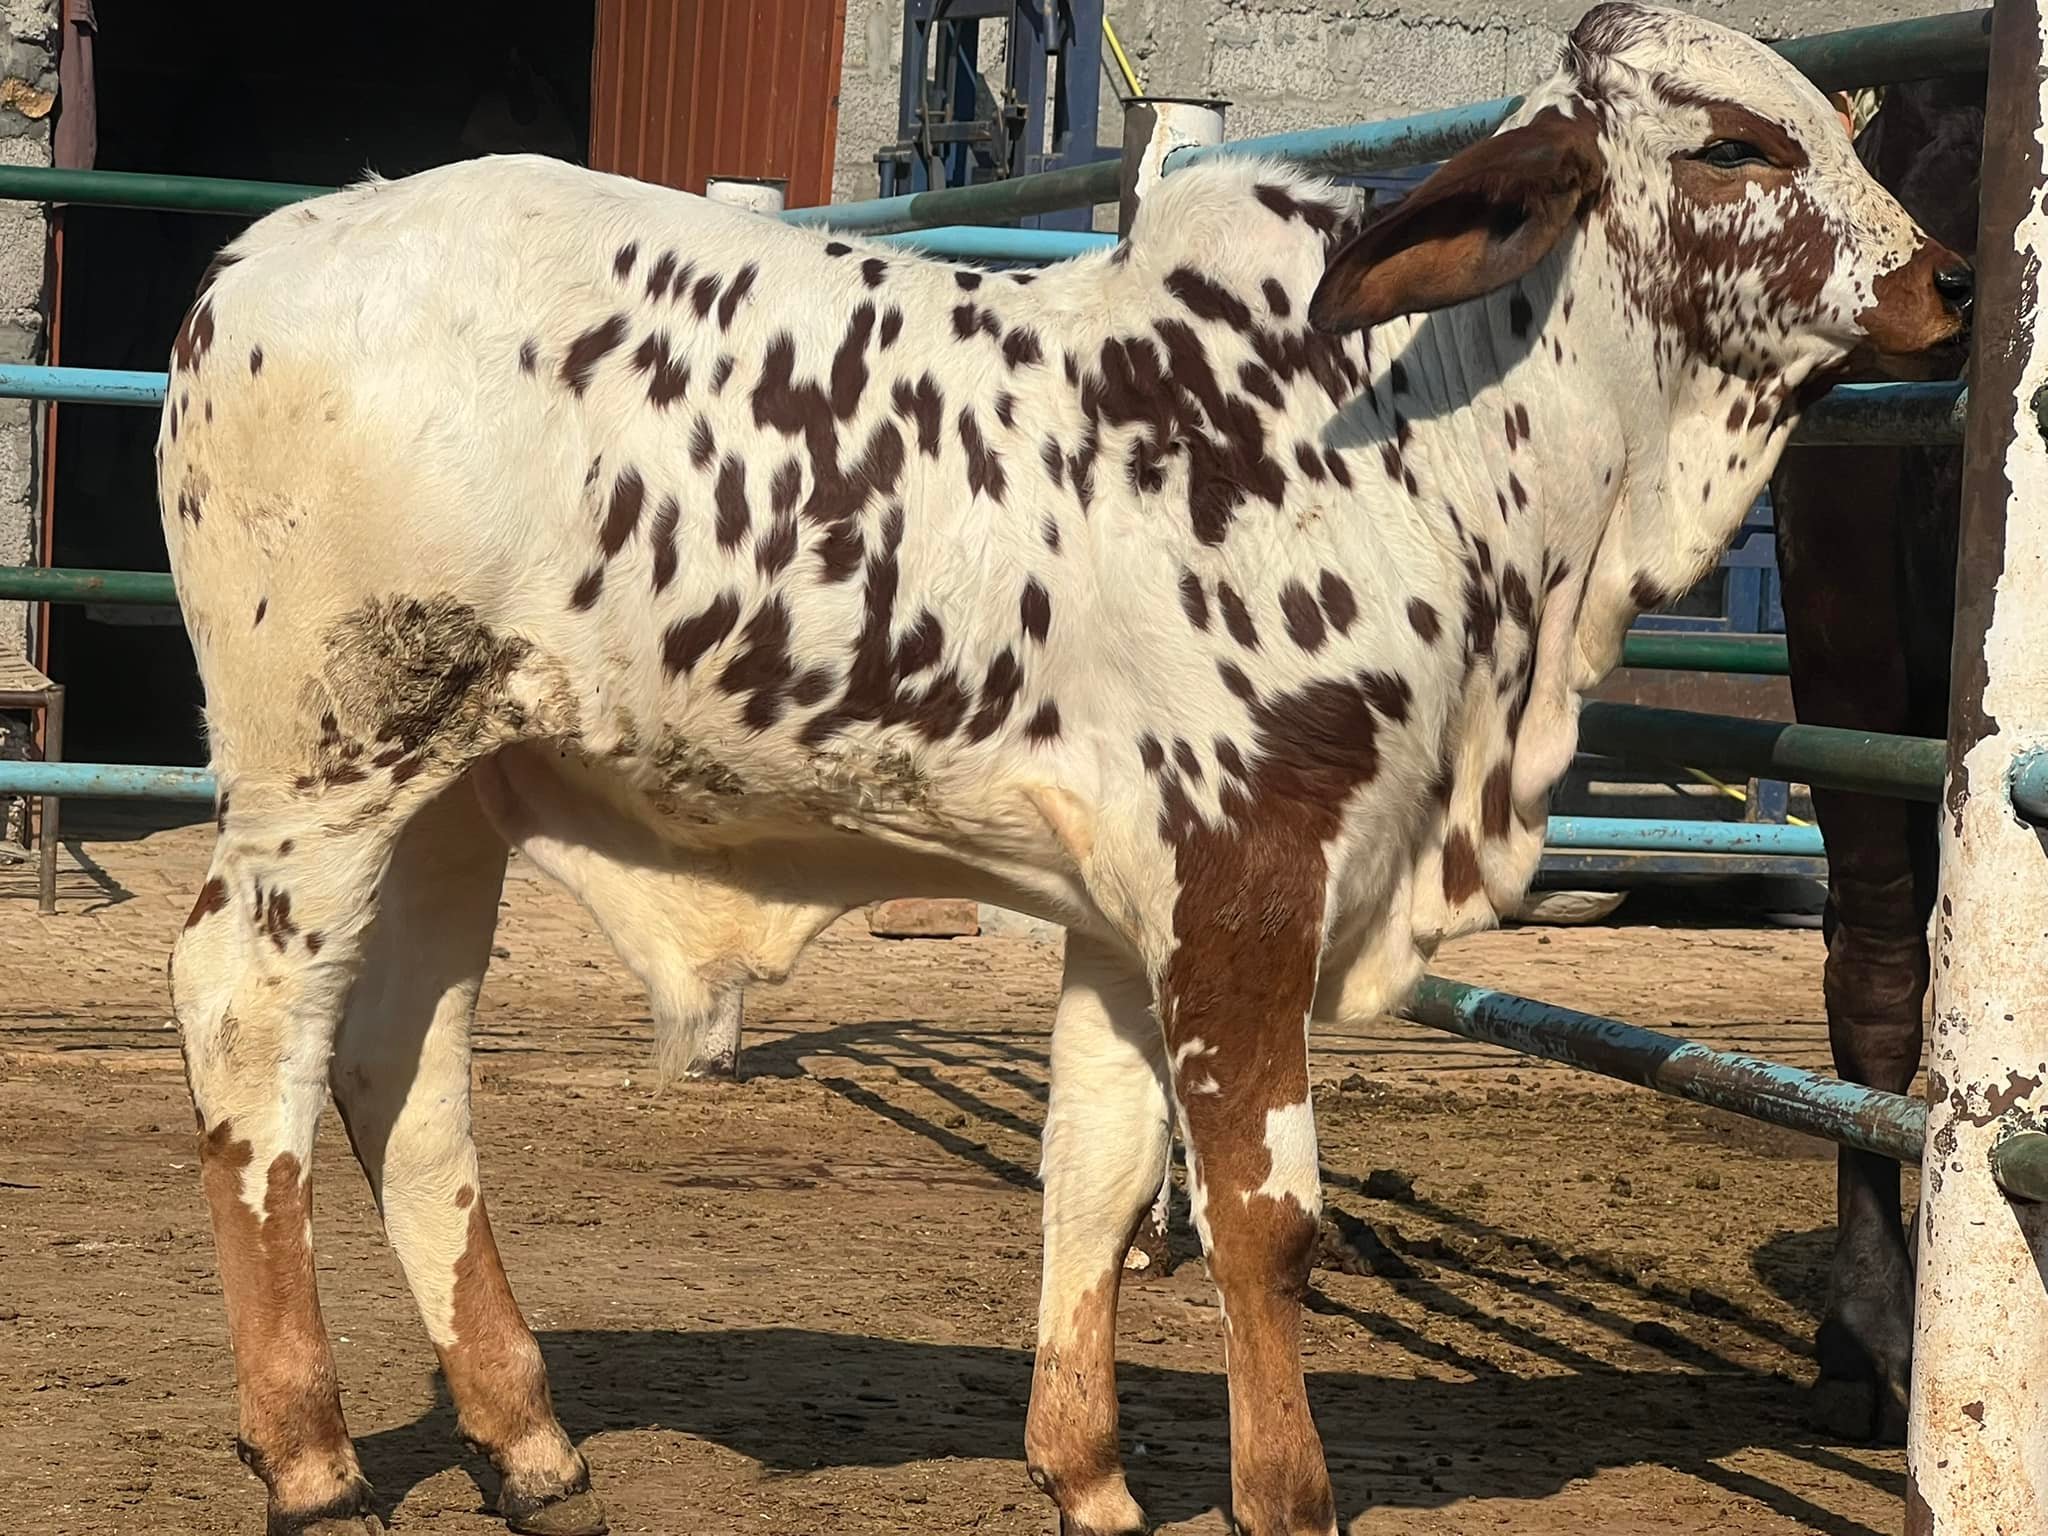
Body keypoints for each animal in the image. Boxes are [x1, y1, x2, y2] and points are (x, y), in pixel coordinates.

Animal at [158, 6, 1968, 1533]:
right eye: (1733, 144)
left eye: (1841, 120)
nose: (1947, 278)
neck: (1424, 431)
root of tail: (259, 262)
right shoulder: (1249, 872)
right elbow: (1263, 1220)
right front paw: (1285, 1495)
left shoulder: (1127, 908)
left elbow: (1097, 1176)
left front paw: (1086, 1476)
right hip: (323, 775)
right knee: (251, 1026)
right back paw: (311, 1456)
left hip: (456, 792)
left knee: (401, 1069)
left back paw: (529, 1442)